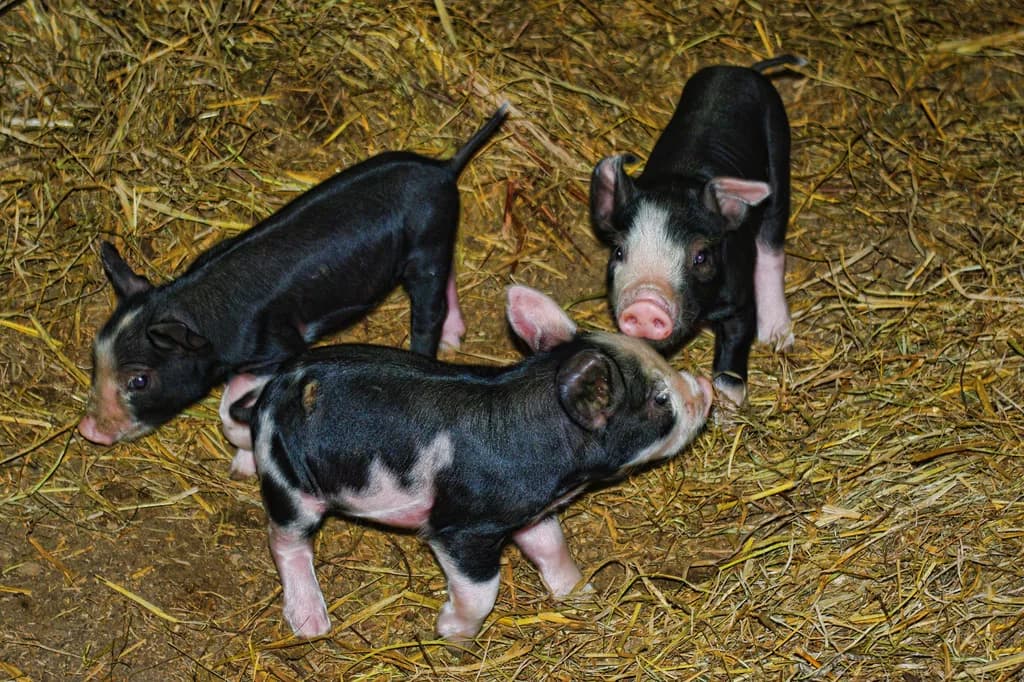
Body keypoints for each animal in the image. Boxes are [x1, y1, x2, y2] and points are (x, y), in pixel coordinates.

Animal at [77, 104, 509, 464]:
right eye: (94, 357)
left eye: (138, 380)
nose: (88, 431)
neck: (200, 309)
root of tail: (444, 168)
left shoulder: (284, 344)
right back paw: (453, 341)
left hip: (427, 243)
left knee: (428, 309)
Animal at [230, 285, 712, 640]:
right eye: (660, 400)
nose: (705, 387)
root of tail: (273, 390)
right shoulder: (461, 528)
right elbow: (481, 589)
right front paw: (452, 635)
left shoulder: (526, 510)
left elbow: (551, 546)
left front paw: (582, 593)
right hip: (291, 484)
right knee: (285, 541)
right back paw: (312, 626)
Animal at [589, 55, 805, 408]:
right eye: (619, 252)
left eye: (701, 256)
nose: (645, 304)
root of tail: (743, 69)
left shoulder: (739, 300)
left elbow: (734, 348)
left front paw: (729, 406)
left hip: (778, 148)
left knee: (772, 245)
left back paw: (778, 337)